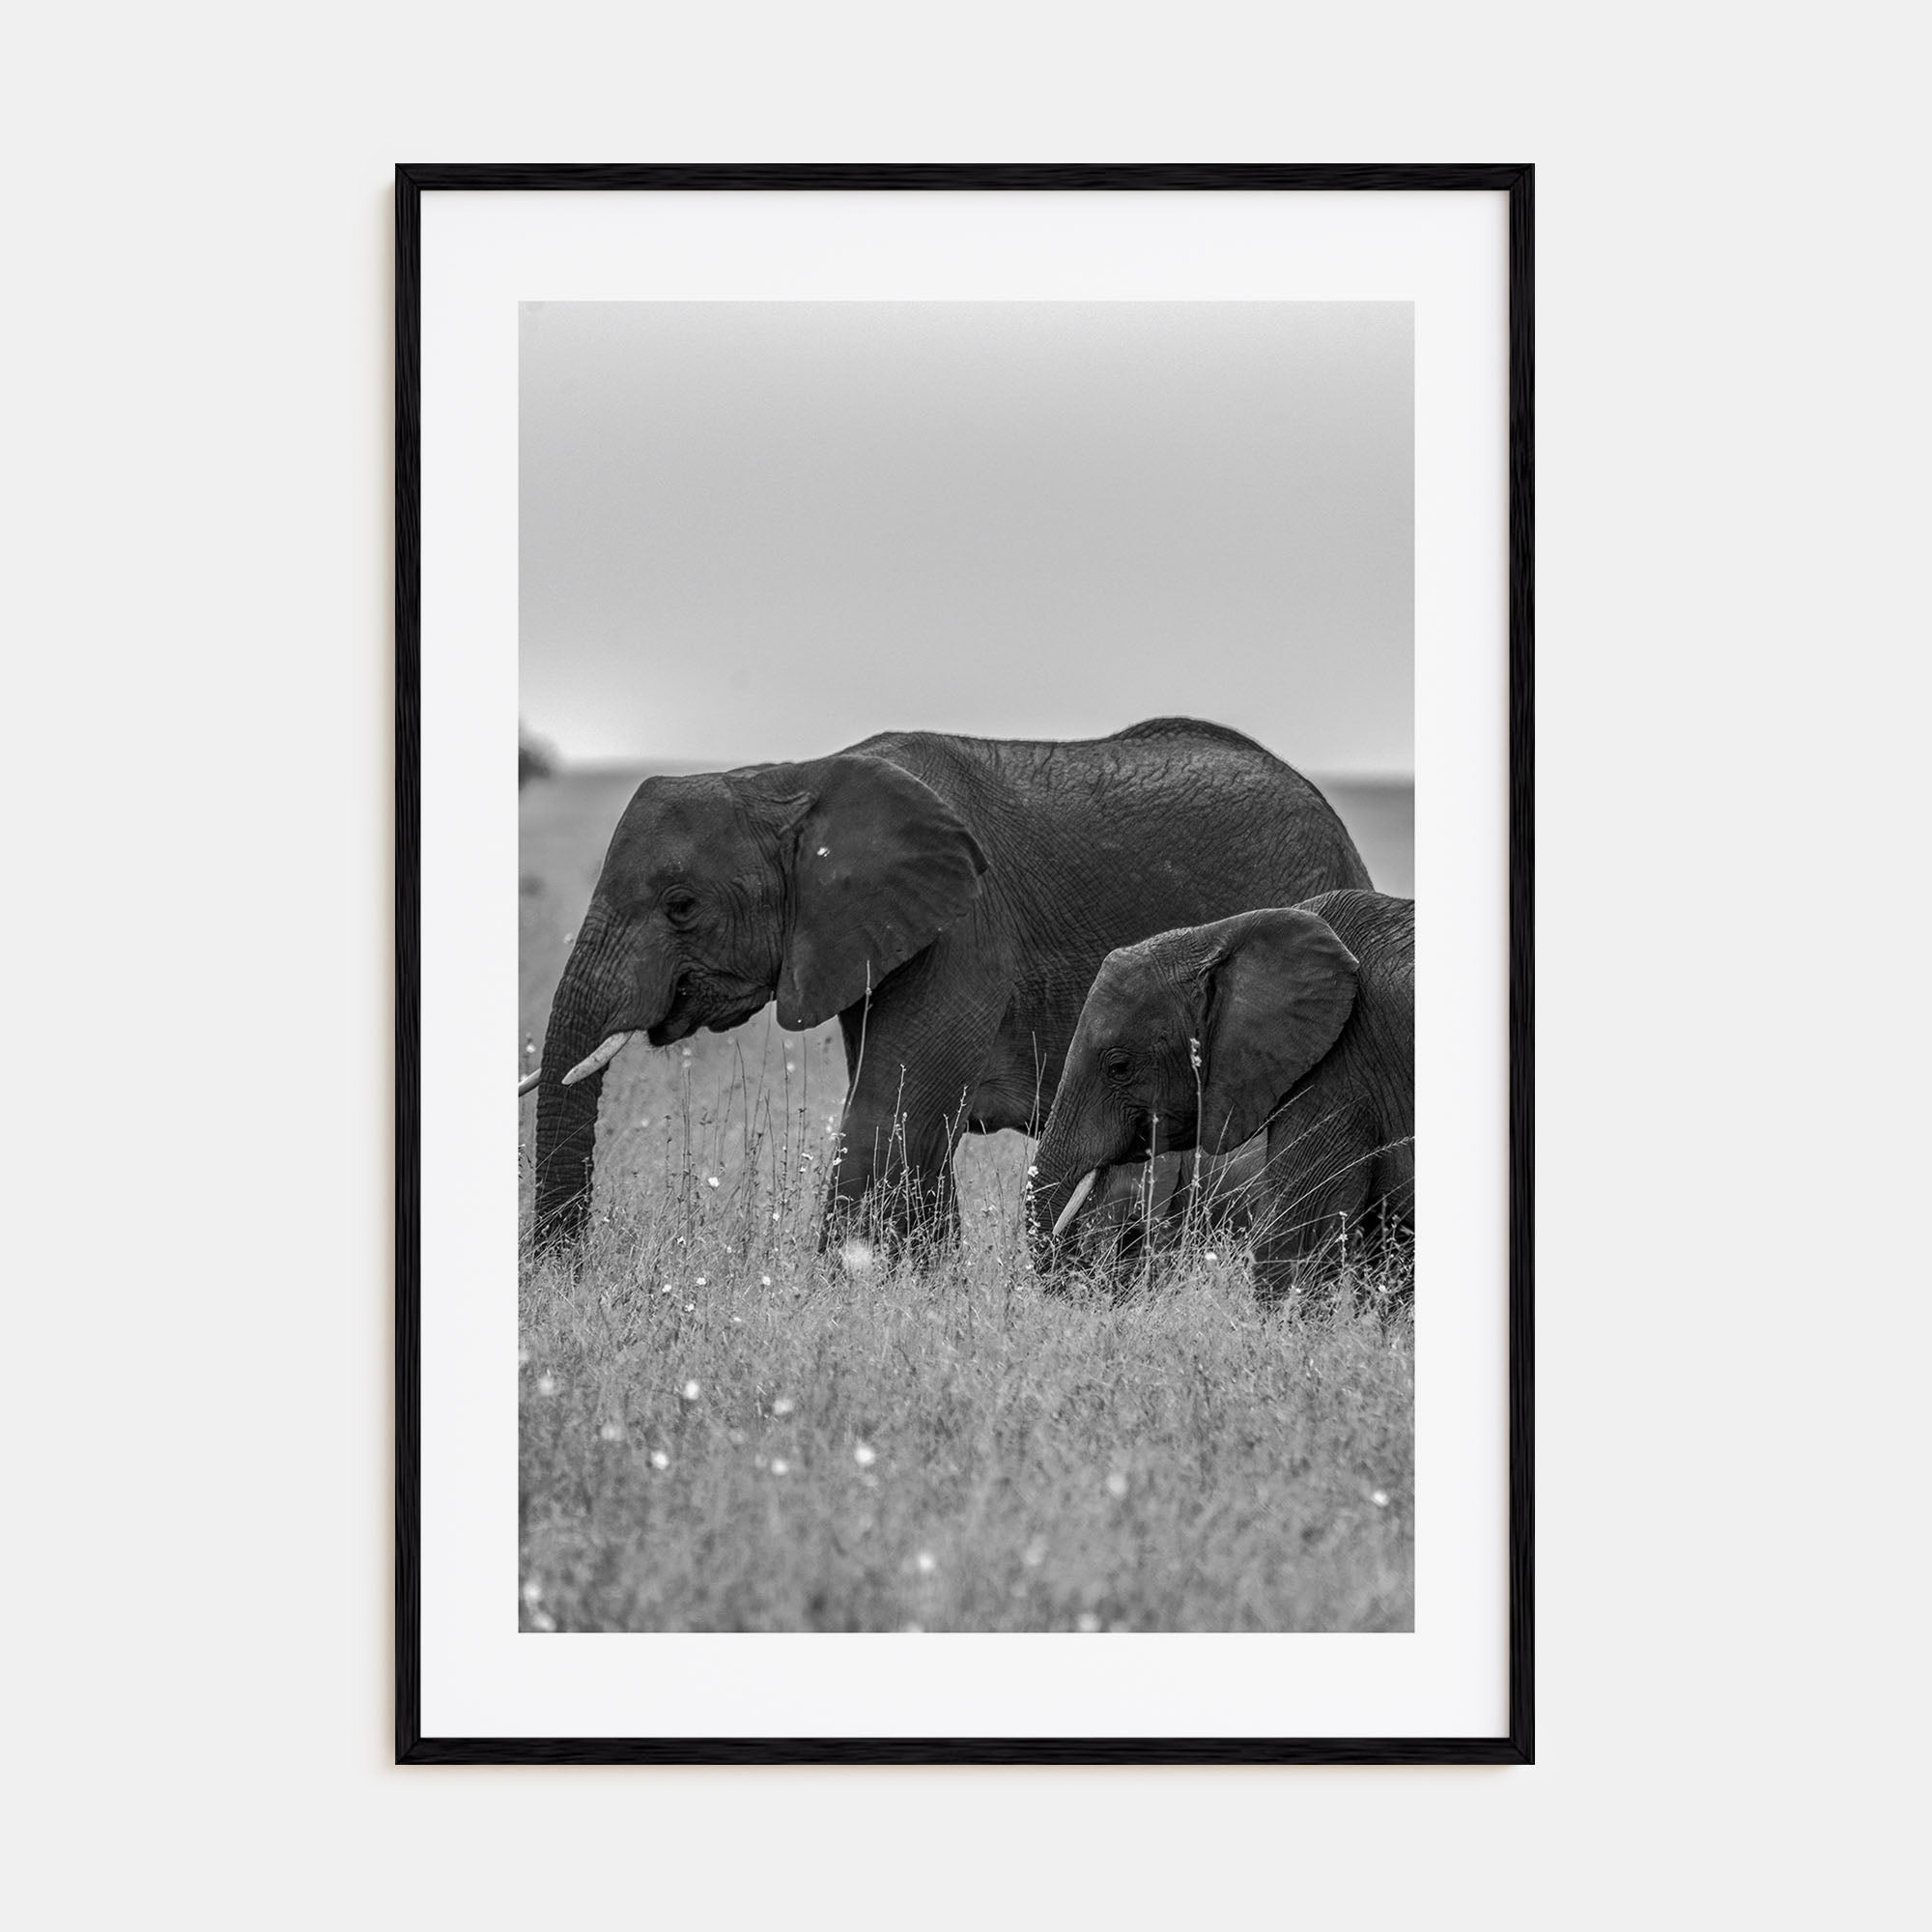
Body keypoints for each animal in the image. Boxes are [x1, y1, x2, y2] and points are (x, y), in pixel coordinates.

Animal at [524, 719, 1372, 1255]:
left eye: (681, 906)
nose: (566, 1273)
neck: (792, 779)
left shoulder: (963, 928)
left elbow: (888, 1114)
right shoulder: (870, 935)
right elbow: (914, 1124)